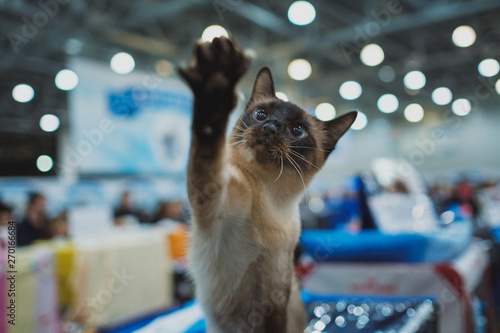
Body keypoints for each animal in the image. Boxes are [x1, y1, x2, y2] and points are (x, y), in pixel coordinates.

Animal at [179, 37, 356, 332]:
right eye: (261, 114)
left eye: (297, 131)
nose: (270, 127)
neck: (269, 196)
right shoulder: (211, 200)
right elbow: (207, 150)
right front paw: (215, 86)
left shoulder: (273, 305)